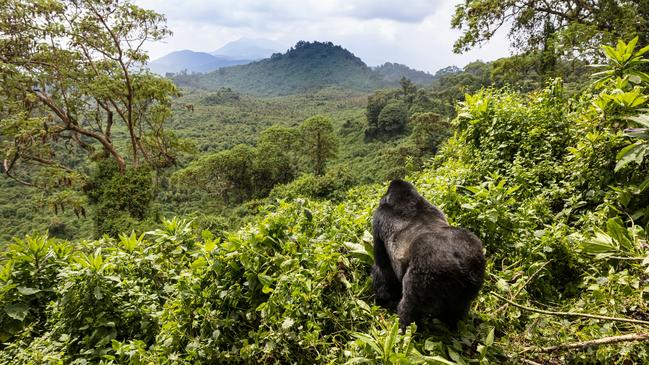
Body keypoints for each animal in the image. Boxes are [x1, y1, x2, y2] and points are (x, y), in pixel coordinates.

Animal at [372, 179, 484, 330]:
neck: (406, 200)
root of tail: (459, 262)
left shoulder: (378, 217)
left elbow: (382, 267)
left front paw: (384, 298)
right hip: (475, 265)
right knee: (458, 308)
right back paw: (453, 325)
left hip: (426, 273)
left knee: (410, 307)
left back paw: (405, 328)